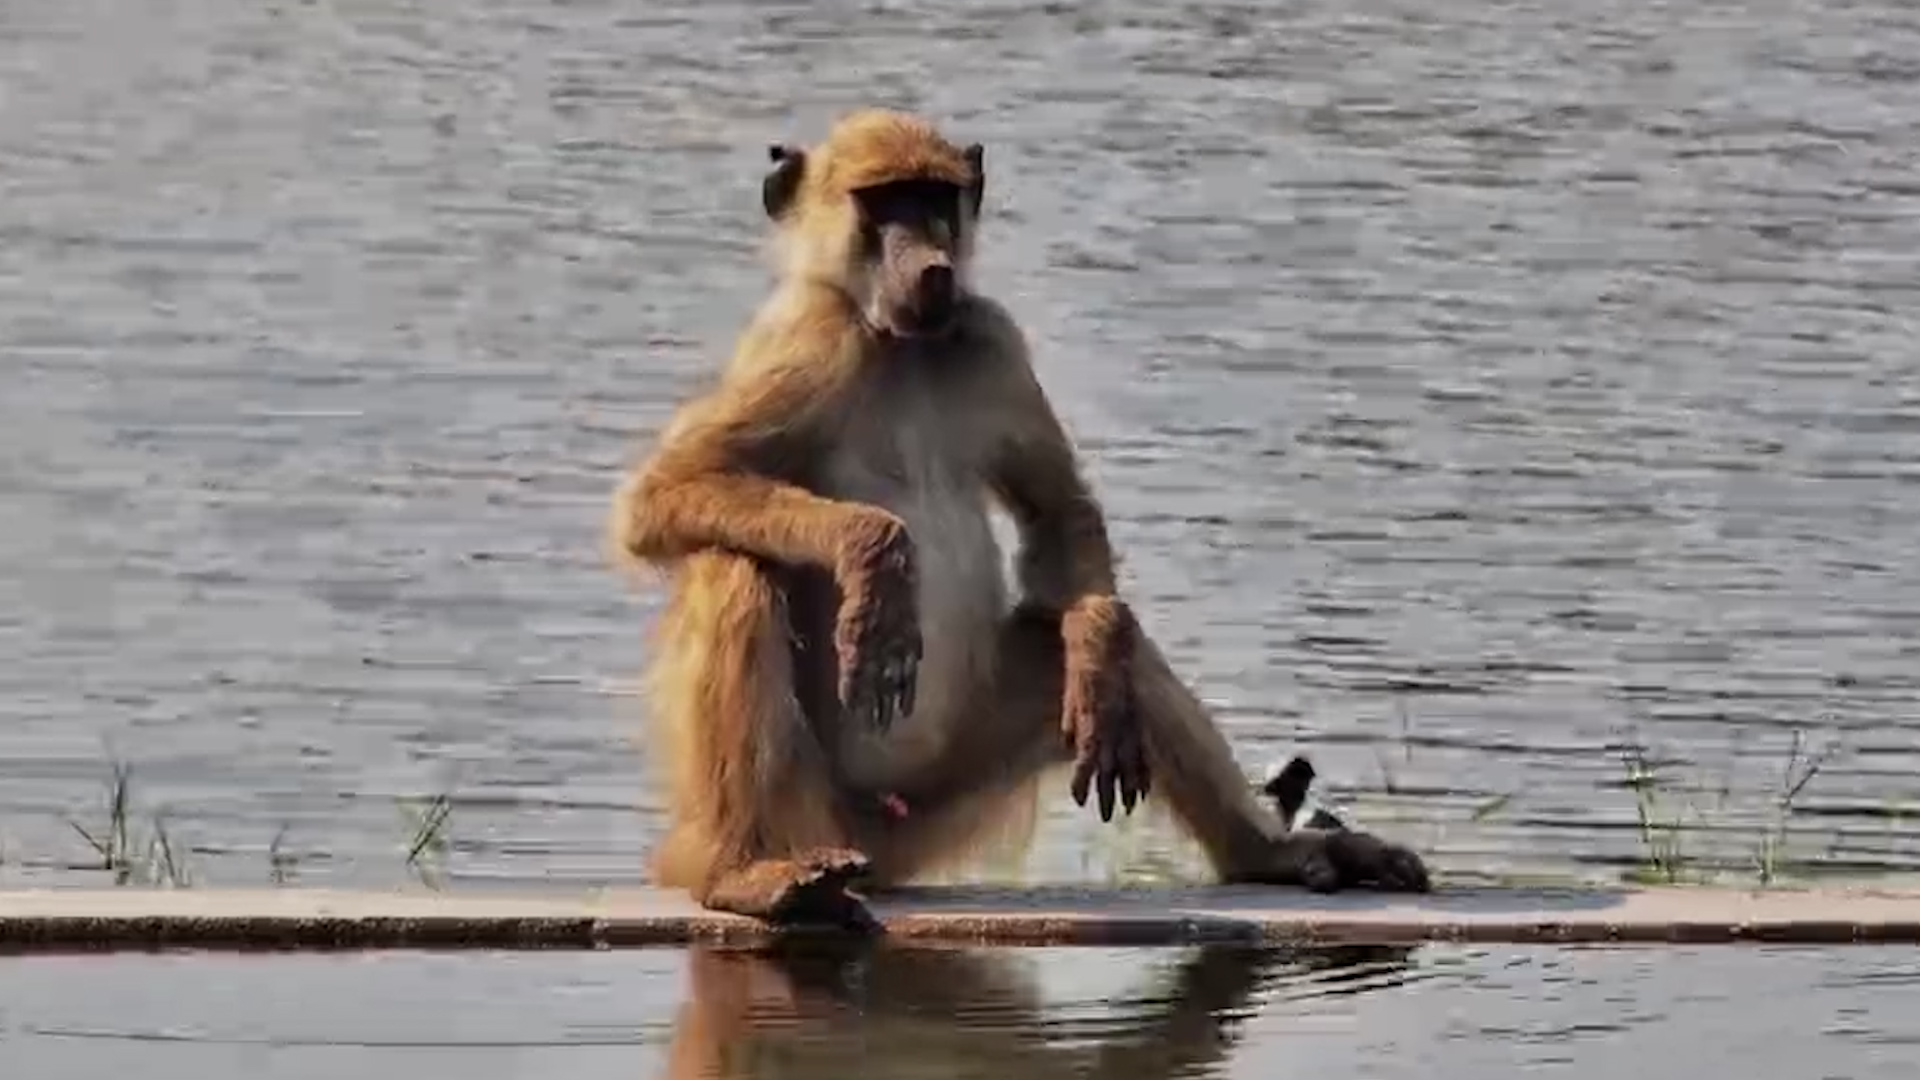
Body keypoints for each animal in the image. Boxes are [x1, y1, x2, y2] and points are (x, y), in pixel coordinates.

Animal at [607, 108, 1431, 929]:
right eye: (884, 203)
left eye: (932, 197)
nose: (931, 267)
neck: (897, 344)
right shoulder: (805, 337)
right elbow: (663, 495)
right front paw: (875, 557)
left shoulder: (990, 336)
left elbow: (1058, 513)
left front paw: (1094, 650)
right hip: (810, 808)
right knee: (734, 568)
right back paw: (746, 873)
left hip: (933, 802)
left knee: (1101, 651)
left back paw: (1260, 847)